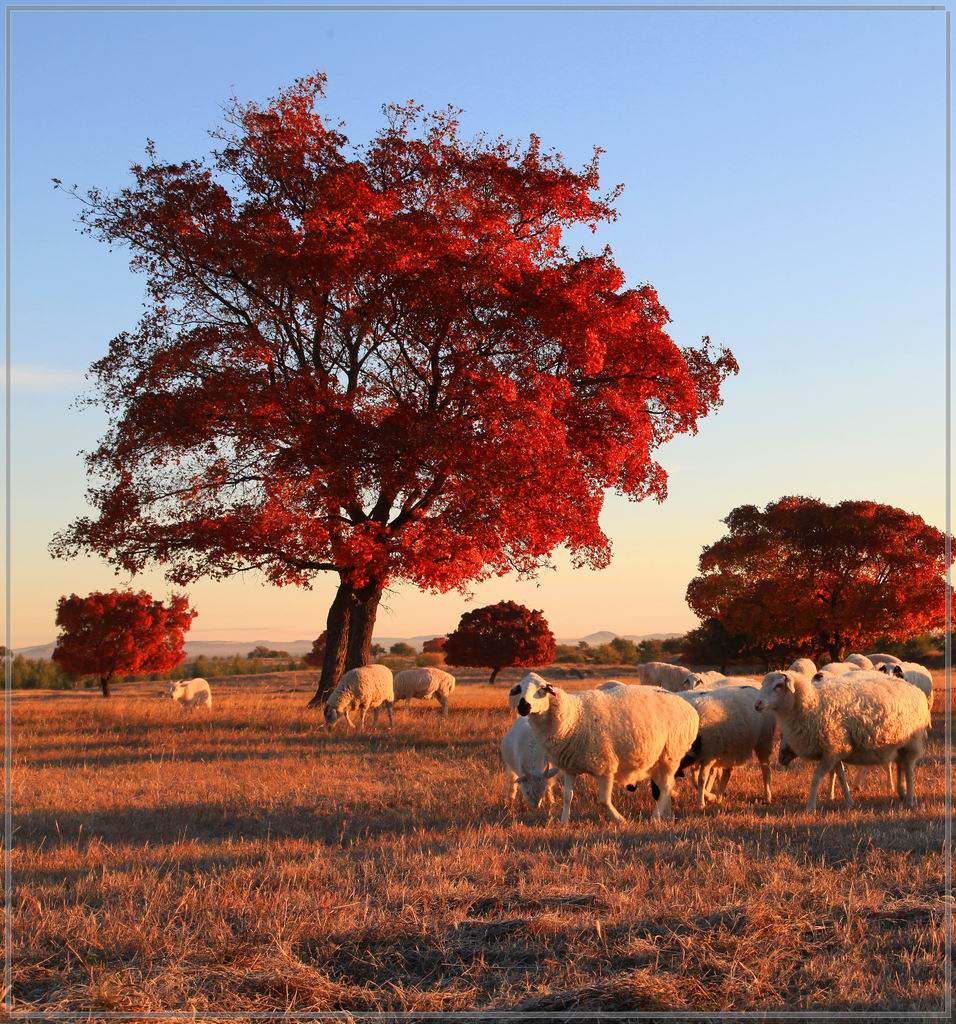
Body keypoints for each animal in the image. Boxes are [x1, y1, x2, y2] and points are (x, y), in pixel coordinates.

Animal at [509, 671, 704, 823]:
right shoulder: (570, 767)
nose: (523, 706)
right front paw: (563, 821)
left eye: (542, 689)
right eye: (519, 689)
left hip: (671, 754)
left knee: (666, 786)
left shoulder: (605, 766)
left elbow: (603, 800)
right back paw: (667, 815)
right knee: (664, 785)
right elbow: (567, 797)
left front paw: (620, 820)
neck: (573, 717)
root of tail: (686, 705)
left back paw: (655, 817)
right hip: (657, 757)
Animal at [757, 667, 929, 811]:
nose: (757, 704)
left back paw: (910, 800)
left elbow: (816, 778)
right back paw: (901, 793)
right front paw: (849, 802)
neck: (813, 704)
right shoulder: (836, 749)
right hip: (900, 745)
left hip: (911, 742)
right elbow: (841, 776)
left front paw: (810, 807)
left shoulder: (832, 749)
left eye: (778, 685)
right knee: (900, 765)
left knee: (909, 770)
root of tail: (915, 689)